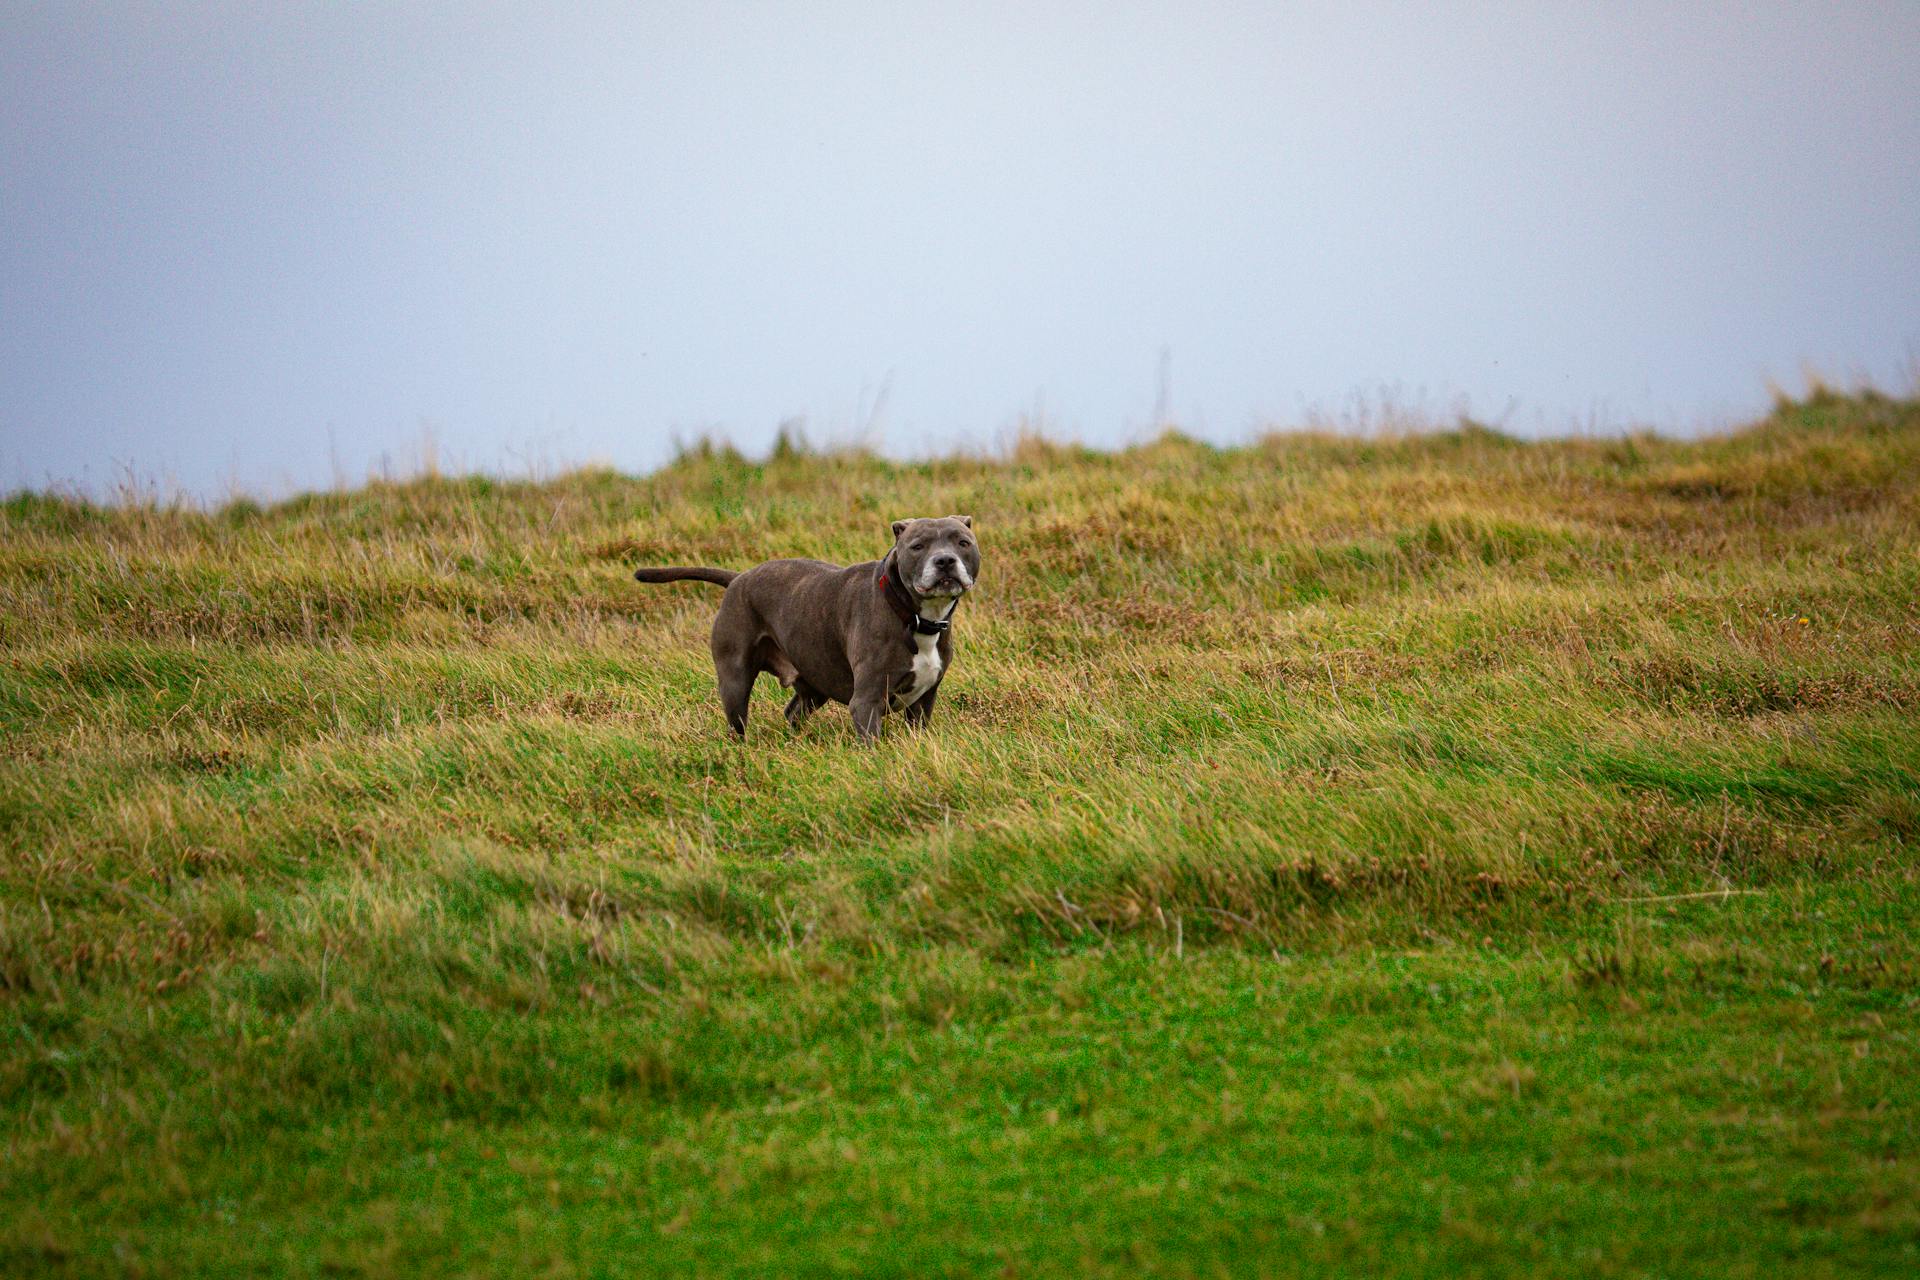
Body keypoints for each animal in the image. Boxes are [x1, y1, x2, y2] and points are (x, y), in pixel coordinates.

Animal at [637, 514, 983, 740]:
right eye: (917, 546)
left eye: (962, 542)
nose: (945, 561)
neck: (912, 616)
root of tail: (738, 578)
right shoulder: (866, 703)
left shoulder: (923, 704)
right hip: (734, 680)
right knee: (737, 723)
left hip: (814, 683)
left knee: (792, 712)